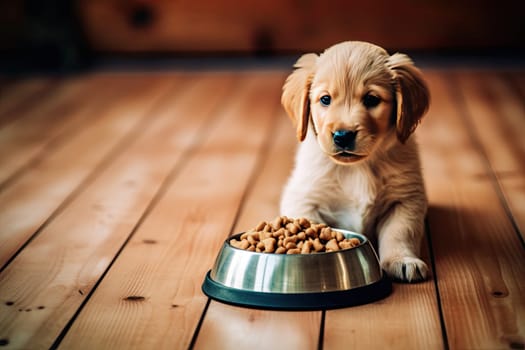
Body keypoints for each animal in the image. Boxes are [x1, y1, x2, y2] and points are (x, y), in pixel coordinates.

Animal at [280, 41, 428, 282]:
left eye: (371, 99)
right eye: (325, 99)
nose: (342, 136)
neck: (357, 168)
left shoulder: (406, 199)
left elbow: (400, 232)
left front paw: (402, 260)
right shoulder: (303, 197)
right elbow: (308, 221)